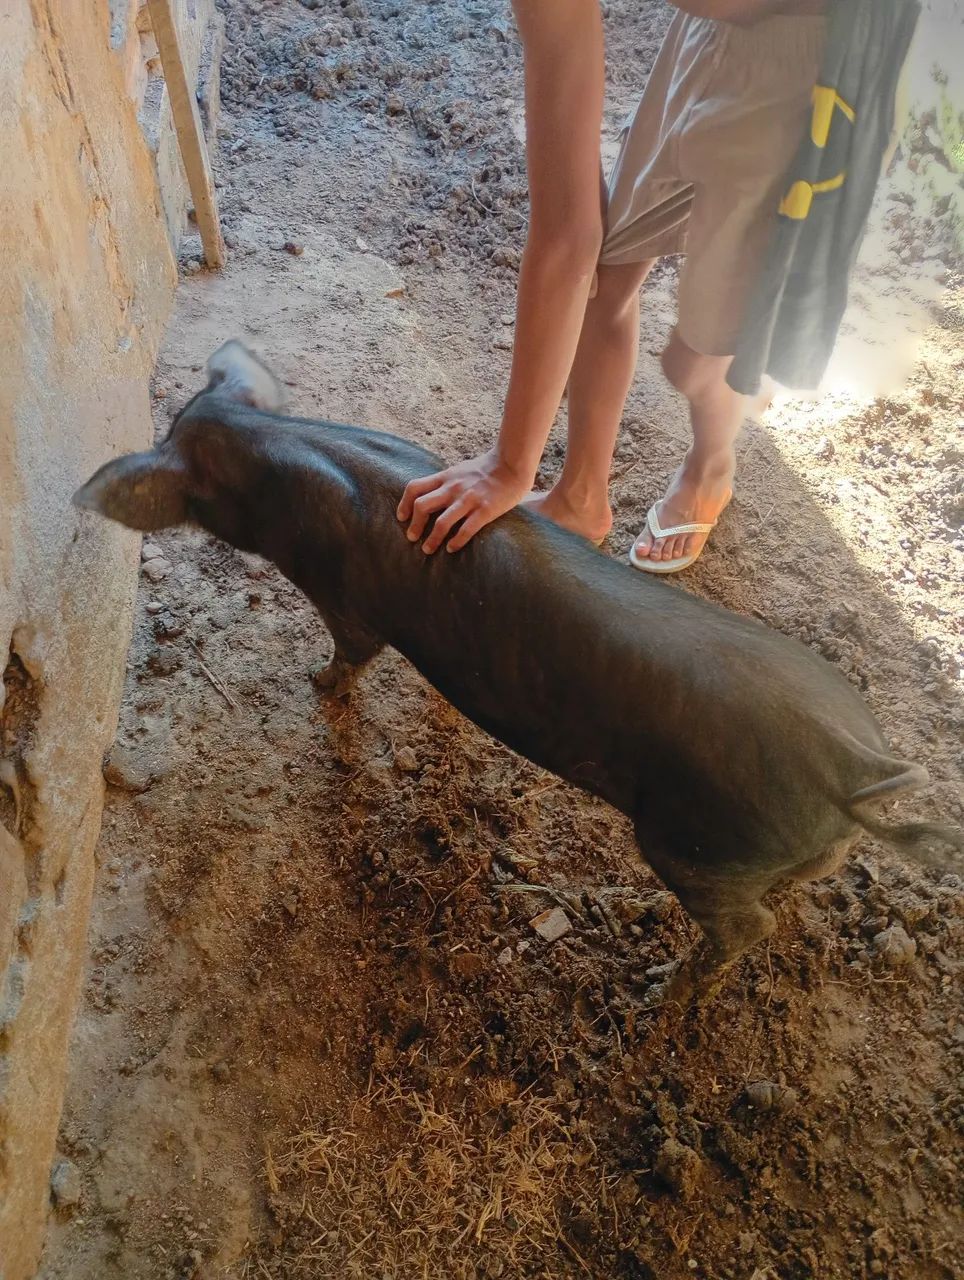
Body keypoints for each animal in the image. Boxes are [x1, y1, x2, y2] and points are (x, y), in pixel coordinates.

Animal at [73, 341, 963, 1007]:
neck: (279, 452)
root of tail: (853, 766)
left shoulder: (345, 604)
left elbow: (349, 657)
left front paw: (315, 688)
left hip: (700, 845)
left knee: (749, 931)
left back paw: (660, 991)